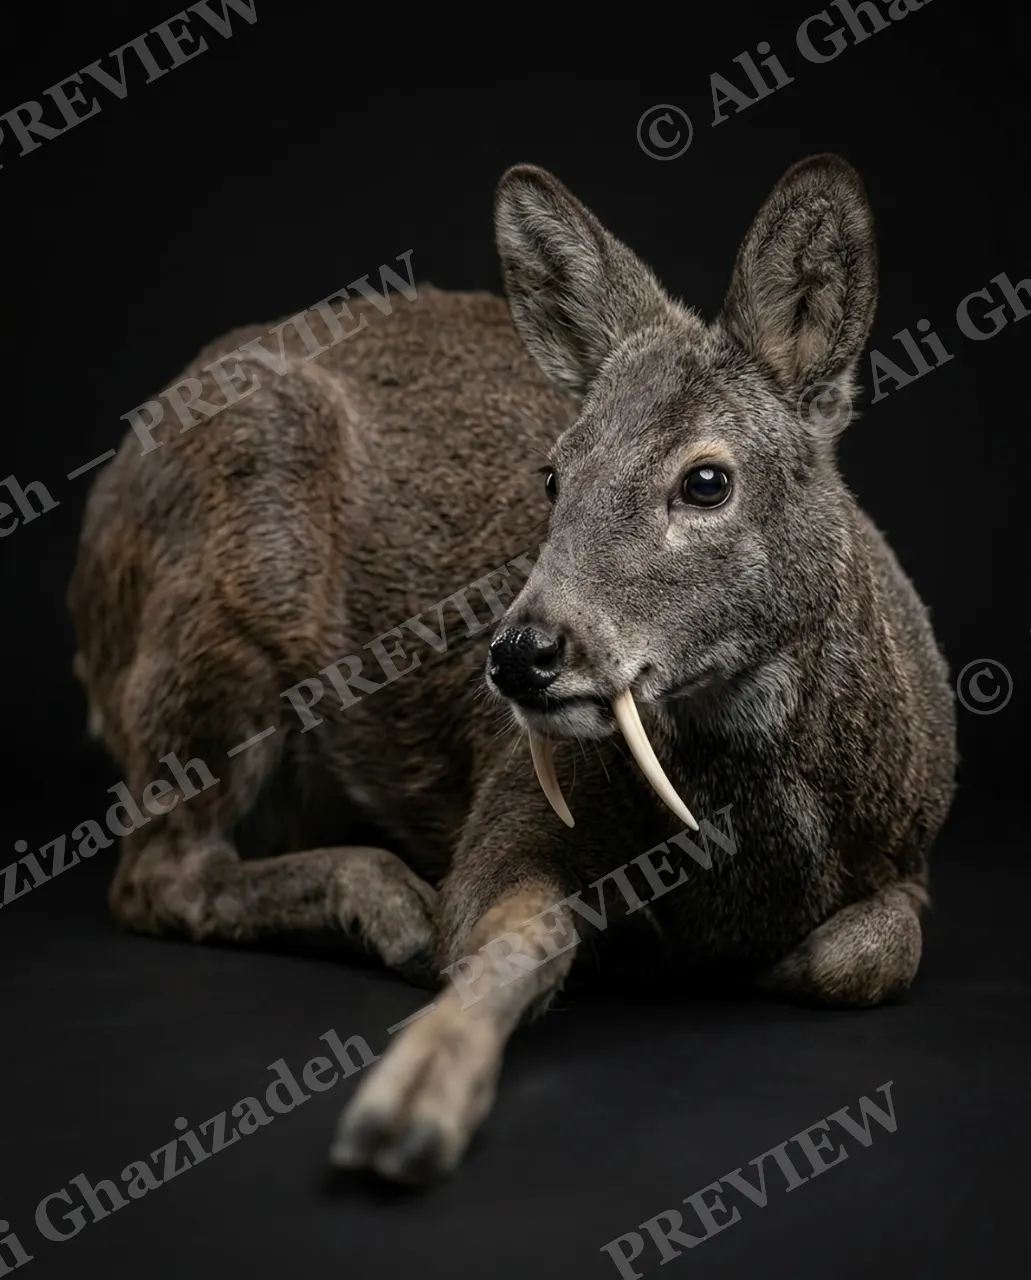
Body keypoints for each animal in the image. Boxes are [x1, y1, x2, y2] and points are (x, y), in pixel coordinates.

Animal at [68, 153, 957, 1184]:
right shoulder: (506, 810)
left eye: (706, 480)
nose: (522, 652)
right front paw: (411, 1102)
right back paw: (386, 903)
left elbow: (873, 953)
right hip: (204, 642)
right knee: (158, 871)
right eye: (552, 475)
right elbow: (516, 937)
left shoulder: (912, 852)